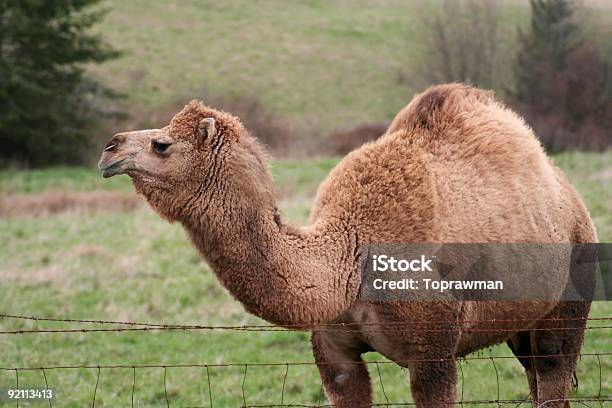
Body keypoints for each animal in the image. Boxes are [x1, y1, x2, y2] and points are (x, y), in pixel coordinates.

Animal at [98, 84, 596, 406]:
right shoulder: (334, 351)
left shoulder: (433, 352)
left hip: (570, 294)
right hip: (519, 323)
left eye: (161, 144)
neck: (348, 259)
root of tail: (570, 196)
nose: (109, 148)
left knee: (553, 366)